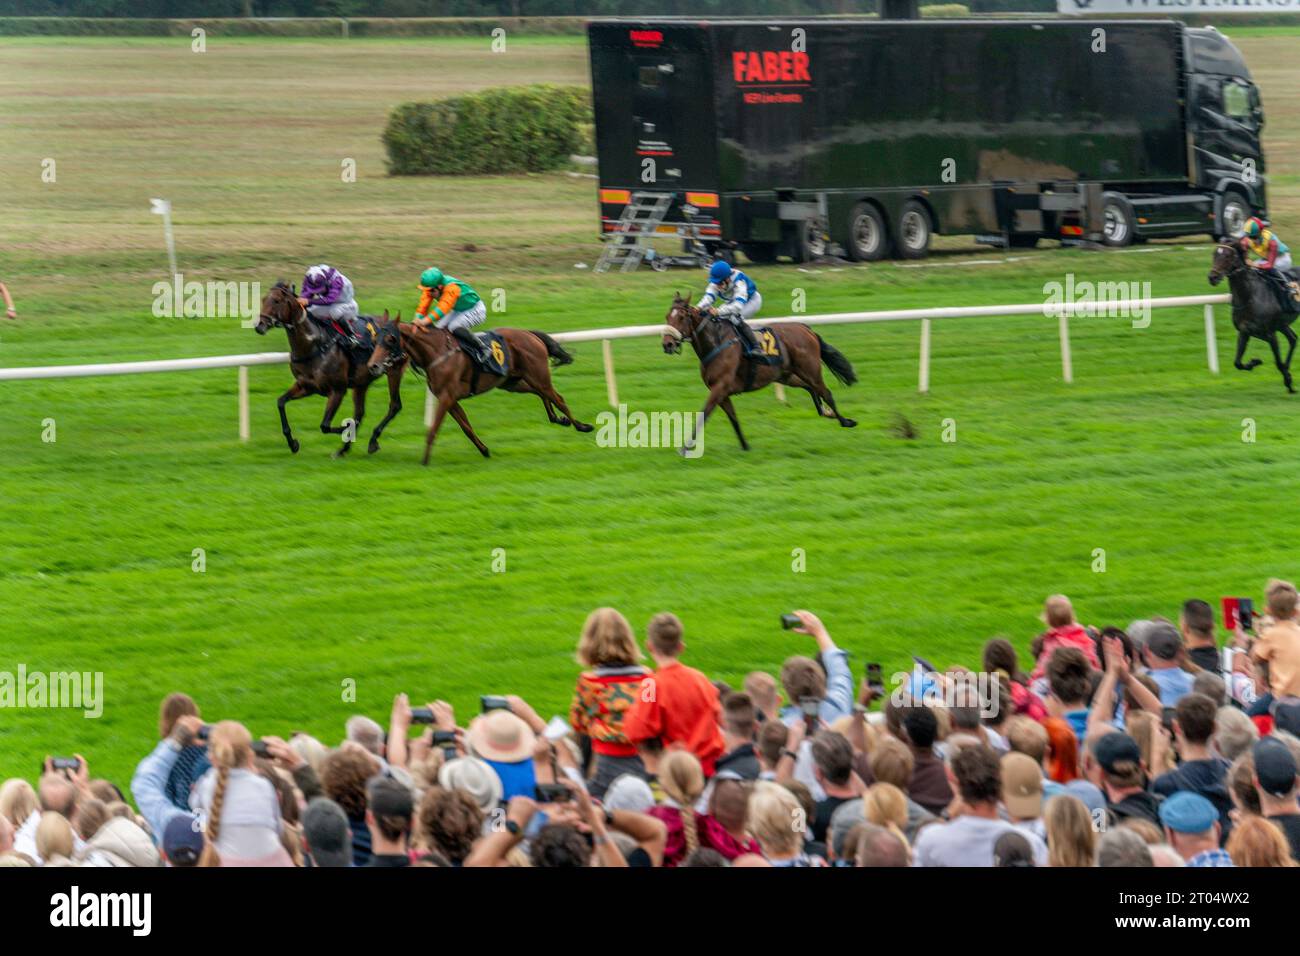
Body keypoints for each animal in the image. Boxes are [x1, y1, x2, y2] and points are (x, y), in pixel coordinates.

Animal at [257, 282, 408, 457]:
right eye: (263, 299)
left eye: (276, 301)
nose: (259, 326)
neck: (313, 346)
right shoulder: (306, 386)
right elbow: (281, 402)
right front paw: (293, 444)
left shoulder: (337, 390)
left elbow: (325, 425)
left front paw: (347, 429)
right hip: (362, 382)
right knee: (359, 412)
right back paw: (343, 449)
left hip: (393, 371)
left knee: (394, 405)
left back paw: (371, 441)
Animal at [364, 319, 592, 465]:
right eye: (375, 340)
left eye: (391, 339)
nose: (373, 366)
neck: (437, 352)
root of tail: (529, 333)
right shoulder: (450, 399)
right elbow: (466, 426)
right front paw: (484, 450)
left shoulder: (446, 397)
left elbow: (434, 429)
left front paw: (425, 460)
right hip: (513, 382)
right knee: (541, 394)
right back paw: (558, 418)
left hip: (537, 376)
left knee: (558, 397)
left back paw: (581, 425)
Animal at [665, 293, 857, 455]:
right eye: (667, 317)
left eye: (681, 317)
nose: (667, 344)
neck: (716, 343)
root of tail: (805, 328)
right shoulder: (721, 391)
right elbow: (733, 417)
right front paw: (745, 446)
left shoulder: (720, 388)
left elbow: (704, 414)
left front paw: (685, 448)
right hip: (787, 375)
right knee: (811, 388)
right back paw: (826, 412)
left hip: (810, 370)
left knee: (826, 392)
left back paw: (845, 421)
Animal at [1206, 240, 1300, 395]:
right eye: (1214, 254)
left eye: (1228, 256)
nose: (1212, 277)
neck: (1249, 296)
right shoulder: (1244, 332)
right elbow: (1237, 363)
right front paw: (1254, 362)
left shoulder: (1270, 333)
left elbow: (1278, 362)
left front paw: (1288, 381)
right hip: (1282, 325)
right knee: (1293, 339)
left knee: (1291, 340)